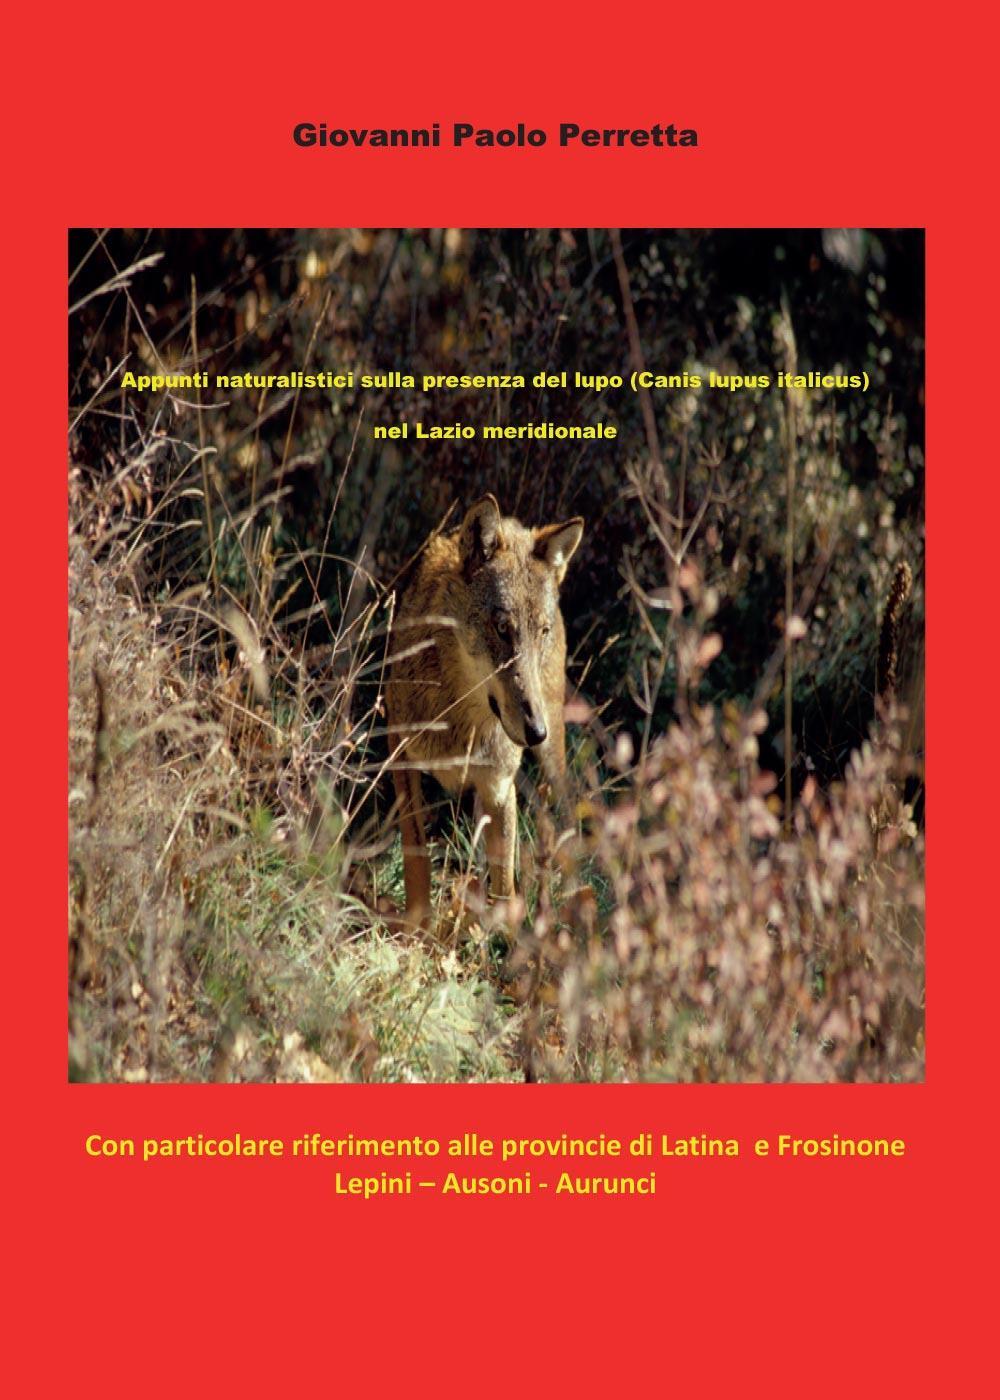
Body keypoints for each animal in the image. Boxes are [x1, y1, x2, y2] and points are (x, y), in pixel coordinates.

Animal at [386, 494, 583, 931]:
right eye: (502, 628)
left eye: (541, 632)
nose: (535, 730)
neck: (461, 718)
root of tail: (515, 525)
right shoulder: (402, 759)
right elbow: (416, 856)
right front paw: (417, 929)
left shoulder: (499, 786)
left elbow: (505, 888)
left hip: (551, 758)